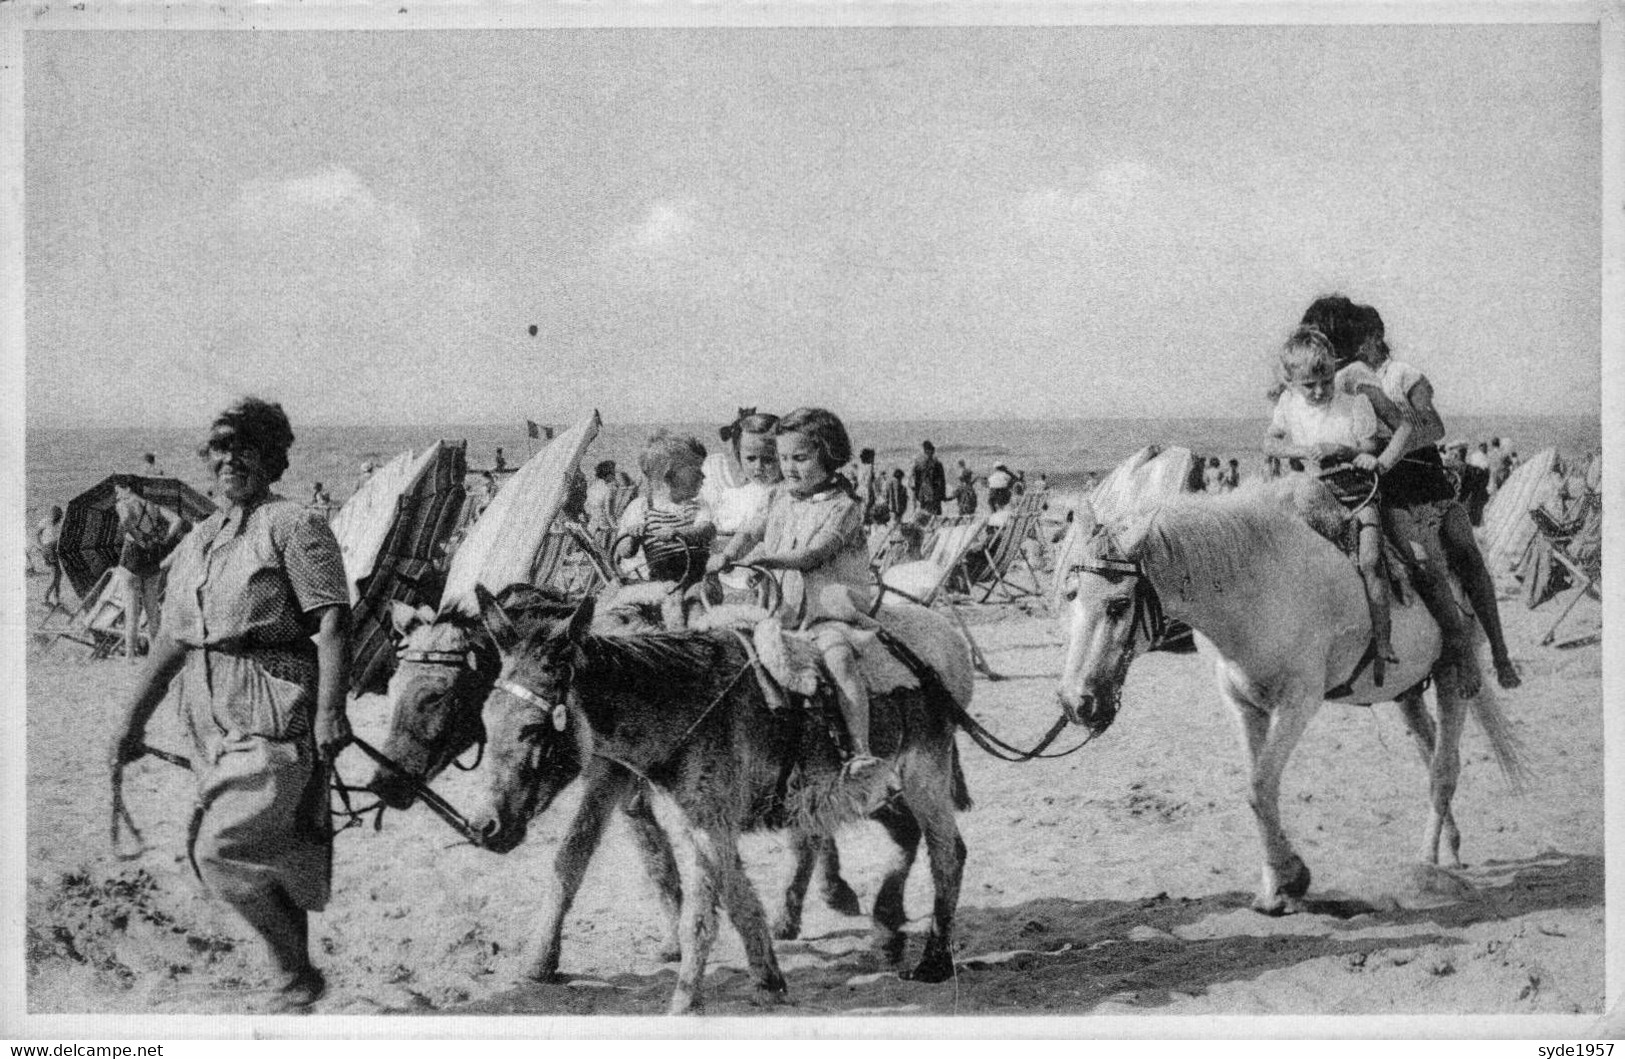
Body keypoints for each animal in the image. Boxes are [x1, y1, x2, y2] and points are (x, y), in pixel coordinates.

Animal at [1053, 467, 1521, 916]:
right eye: (1071, 596)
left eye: (1118, 605)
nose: (1077, 703)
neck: (1255, 589)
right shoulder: (1244, 706)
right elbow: (1257, 787)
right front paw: (1276, 886)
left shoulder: (1298, 702)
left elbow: (1260, 787)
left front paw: (1291, 878)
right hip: (1407, 689)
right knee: (1431, 752)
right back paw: (1449, 849)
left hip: (1452, 676)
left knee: (1444, 769)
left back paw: (1426, 865)